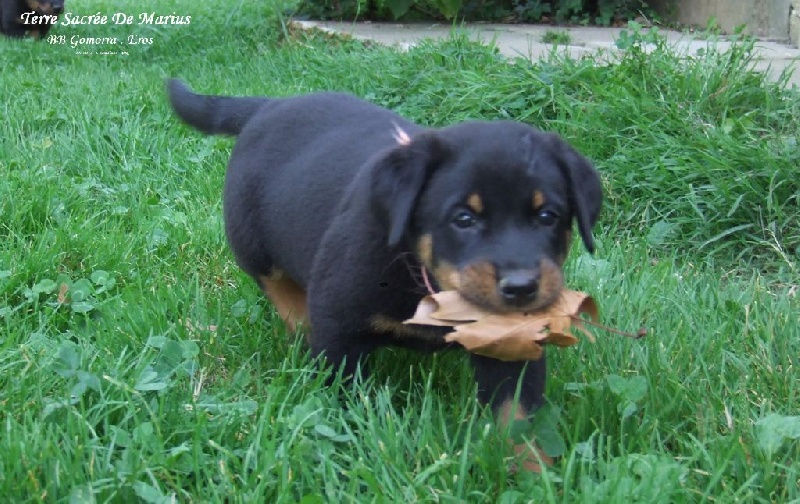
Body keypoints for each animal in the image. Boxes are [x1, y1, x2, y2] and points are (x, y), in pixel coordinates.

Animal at [170, 79, 600, 468]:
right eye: (463, 219)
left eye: (548, 216)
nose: (522, 287)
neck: (432, 290)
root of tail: (270, 105)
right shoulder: (338, 326)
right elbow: (336, 389)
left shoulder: (511, 342)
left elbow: (519, 418)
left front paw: (532, 474)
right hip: (251, 242)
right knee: (279, 288)